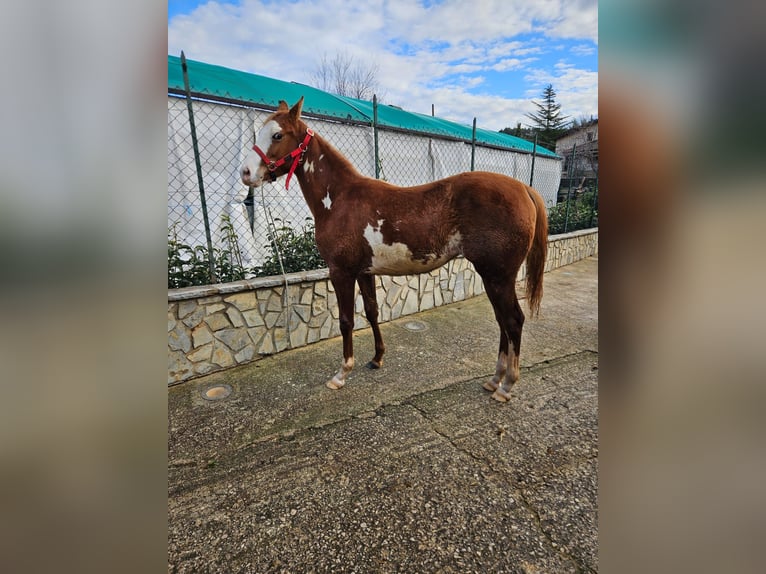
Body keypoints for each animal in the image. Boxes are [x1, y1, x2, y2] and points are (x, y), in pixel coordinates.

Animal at [243, 98, 548, 404]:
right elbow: (372, 311)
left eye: (277, 135)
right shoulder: (363, 271)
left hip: (498, 276)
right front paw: (377, 358)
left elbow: (346, 321)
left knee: (513, 321)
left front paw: (341, 374)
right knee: (502, 321)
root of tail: (524, 188)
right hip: (493, 277)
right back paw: (494, 380)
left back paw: (506, 386)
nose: (246, 173)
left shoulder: (341, 272)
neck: (340, 198)